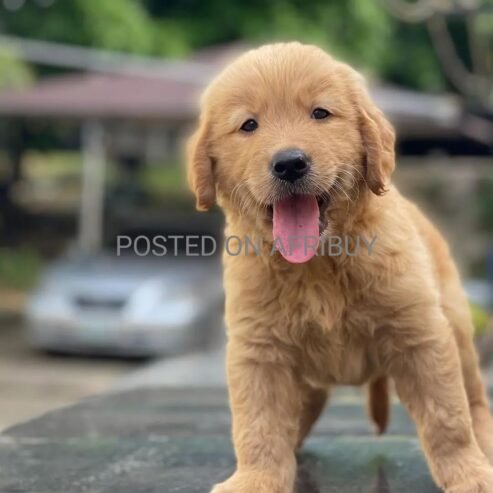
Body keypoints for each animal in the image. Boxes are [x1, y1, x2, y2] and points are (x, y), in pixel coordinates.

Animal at [186, 43, 492, 492]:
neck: (317, 265)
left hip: (456, 327)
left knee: (474, 400)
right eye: (249, 125)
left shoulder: (421, 336)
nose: (289, 163)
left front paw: (469, 475)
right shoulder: (258, 349)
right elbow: (258, 424)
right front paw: (256, 478)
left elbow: (447, 416)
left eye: (320, 113)